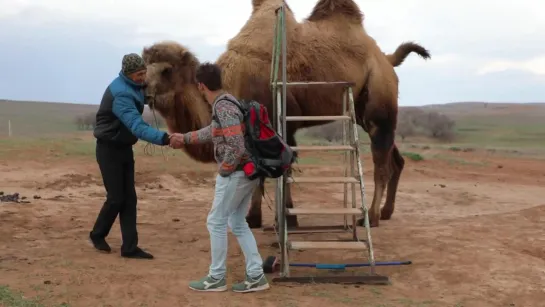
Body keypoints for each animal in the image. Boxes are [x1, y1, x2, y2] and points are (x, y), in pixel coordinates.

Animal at [142, 0, 432, 229]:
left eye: (166, 70)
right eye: (145, 66)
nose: (144, 91)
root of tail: (386, 58)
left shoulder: (275, 121)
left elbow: (280, 169)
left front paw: (280, 220)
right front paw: (258, 218)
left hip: (379, 102)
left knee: (381, 162)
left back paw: (370, 216)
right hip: (364, 111)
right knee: (396, 159)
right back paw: (386, 212)